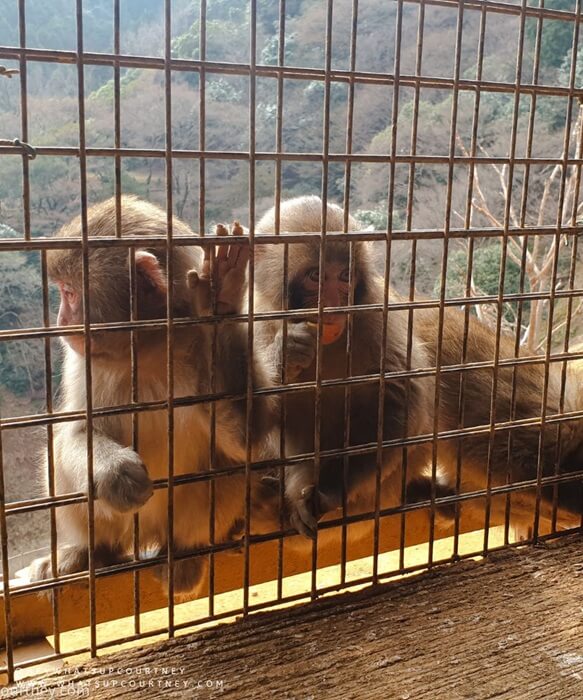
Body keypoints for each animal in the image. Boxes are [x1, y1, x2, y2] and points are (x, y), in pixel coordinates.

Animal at [28, 196, 277, 595]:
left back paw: (185, 552)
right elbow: (76, 431)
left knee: (226, 465)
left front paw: (221, 300)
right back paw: (91, 552)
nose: (62, 322)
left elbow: (246, 443)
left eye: (70, 294)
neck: (150, 345)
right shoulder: (83, 361)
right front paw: (114, 471)